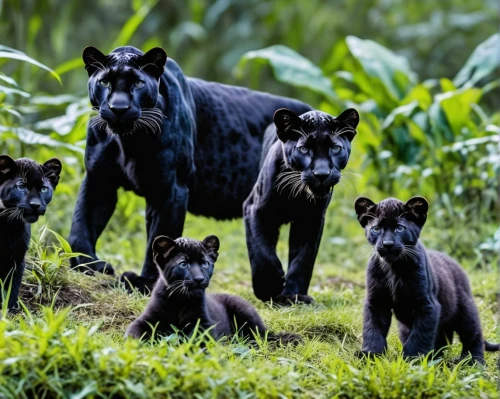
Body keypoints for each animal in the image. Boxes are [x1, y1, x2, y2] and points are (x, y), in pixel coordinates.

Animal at [68, 46, 310, 290]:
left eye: (138, 83)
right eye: (105, 82)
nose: (118, 108)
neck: (126, 139)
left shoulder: (171, 189)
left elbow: (160, 237)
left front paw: (146, 282)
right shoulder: (99, 179)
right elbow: (80, 225)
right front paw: (87, 264)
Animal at [244, 108, 358, 304]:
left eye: (335, 148)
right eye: (304, 149)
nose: (321, 174)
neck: (296, 195)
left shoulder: (311, 221)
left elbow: (303, 258)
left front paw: (294, 296)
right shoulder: (256, 210)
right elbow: (262, 251)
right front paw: (270, 287)